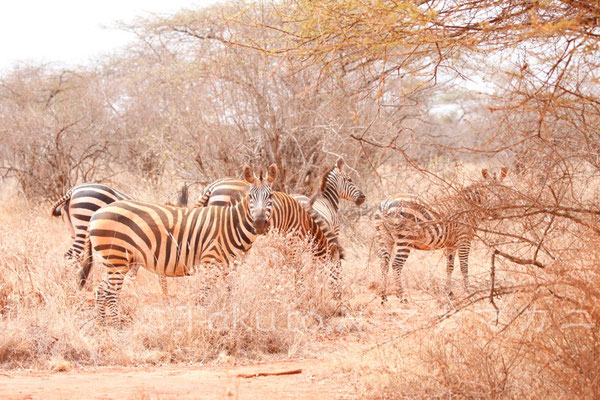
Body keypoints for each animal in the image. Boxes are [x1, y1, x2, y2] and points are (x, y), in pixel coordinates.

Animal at [51, 183, 189, 296]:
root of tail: (73, 190)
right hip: (84, 224)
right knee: (70, 255)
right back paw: (66, 285)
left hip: (75, 231)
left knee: (78, 258)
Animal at [83, 164, 278, 324]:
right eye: (250, 196)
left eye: (270, 196)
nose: (260, 224)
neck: (231, 225)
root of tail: (97, 214)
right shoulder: (210, 263)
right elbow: (204, 298)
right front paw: (203, 324)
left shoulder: (232, 267)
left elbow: (231, 294)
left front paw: (231, 318)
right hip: (117, 258)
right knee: (111, 294)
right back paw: (116, 328)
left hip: (117, 260)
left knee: (101, 290)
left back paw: (102, 327)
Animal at [378, 167, 508, 302]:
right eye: (487, 191)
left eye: (502, 190)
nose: (496, 212)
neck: (469, 206)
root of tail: (387, 202)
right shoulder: (464, 239)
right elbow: (464, 266)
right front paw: (468, 292)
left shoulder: (451, 244)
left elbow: (449, 267)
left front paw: (449, 293)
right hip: (405, 238)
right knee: (396, 264)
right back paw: (402, 296)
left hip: (384, 238)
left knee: (384, 263)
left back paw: (383, 295)